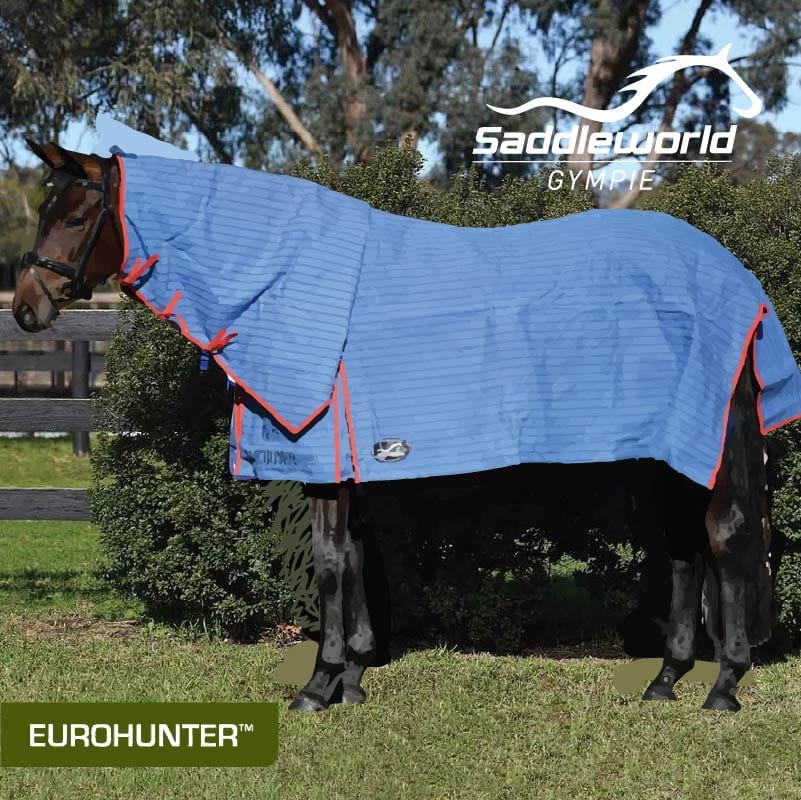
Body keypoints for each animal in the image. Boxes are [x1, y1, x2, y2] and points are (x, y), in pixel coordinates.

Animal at [13, 140, 793, 713]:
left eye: (76, 217)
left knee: (724, 538)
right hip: (667, 454)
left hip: (707, 445)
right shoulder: (350, 464)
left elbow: (329, 565)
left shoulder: (322, 465)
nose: (27, 306)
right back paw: (665, 680)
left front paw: (318, 687)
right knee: (686, 546)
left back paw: (723, 687)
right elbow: (358, 558)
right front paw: (354, 680)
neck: (287, 280)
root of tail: (740, 284)